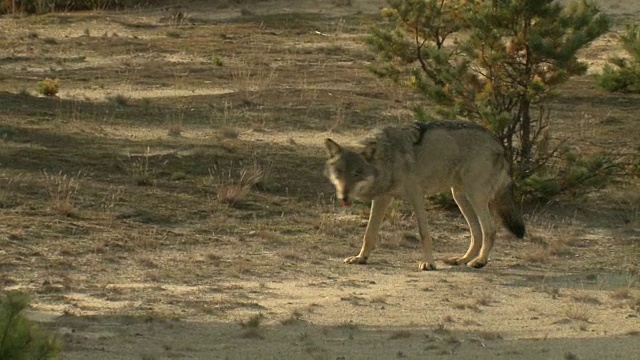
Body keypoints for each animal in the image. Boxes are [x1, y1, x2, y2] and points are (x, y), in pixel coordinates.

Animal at [324, 121, 524, 270]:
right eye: (340, 172)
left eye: (357, 173)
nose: (344, 197)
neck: (388, 157)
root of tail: (498, 142)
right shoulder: (382, 198)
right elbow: (369, 234)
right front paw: (361, 258)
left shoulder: (416, 195)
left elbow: (424, 234)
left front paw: (429, 263)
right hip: (460, 196)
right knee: (476, 233)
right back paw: (462, 259)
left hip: (475, 196)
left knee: (489, 230)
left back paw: (480, 262)